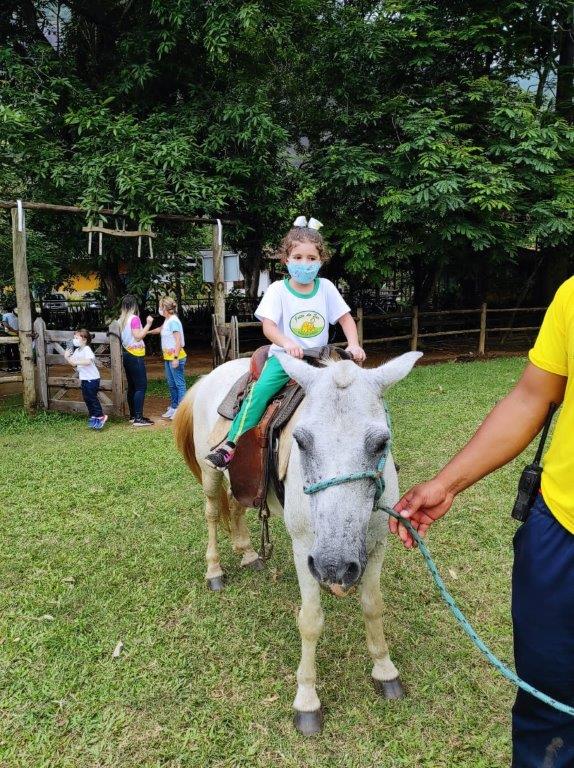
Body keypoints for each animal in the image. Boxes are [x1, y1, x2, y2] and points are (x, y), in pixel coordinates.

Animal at [173, 350, 422, 735]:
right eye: (301, 441)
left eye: (381, 442)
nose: (335, 566)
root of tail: (209, 378)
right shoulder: (304, 549)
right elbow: (310, 620)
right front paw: (307, 699)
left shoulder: (377, 544)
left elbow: (373, 606)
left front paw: (385, 670)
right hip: (211, 472)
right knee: (214, 513)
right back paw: (214, 570)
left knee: (237, 507)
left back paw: (248, 553)